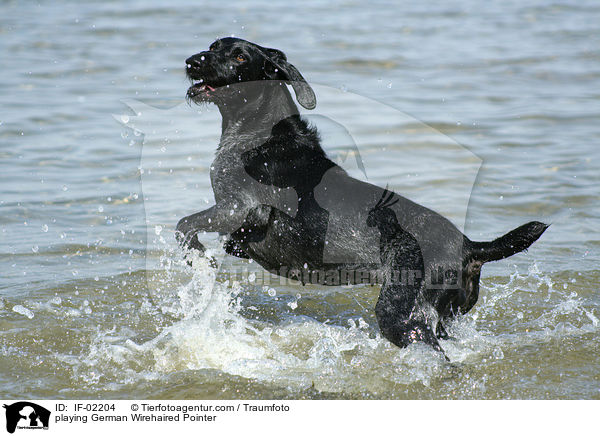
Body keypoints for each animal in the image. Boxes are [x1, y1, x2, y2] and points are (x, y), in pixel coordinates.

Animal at [178, 37, 548, 350]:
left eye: (240, 57)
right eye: (212, 46)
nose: (192, 61)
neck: (258, 136)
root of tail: (471, 246)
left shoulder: (240, 209)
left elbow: (185, 225)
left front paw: (199, 257)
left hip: (403, 314)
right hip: (442, 316)